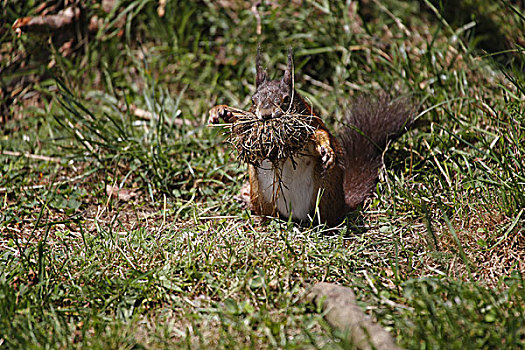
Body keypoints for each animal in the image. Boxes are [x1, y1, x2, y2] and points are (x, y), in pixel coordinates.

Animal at [208, 47, 410, 226]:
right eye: (253, 100)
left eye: (286, 99)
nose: (265, 115)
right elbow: (240, 127)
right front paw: (221, 111)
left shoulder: (312, 125)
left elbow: (320, 135)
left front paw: (326, 148)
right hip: (260, 192)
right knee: (270, 214)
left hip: (324, 191)